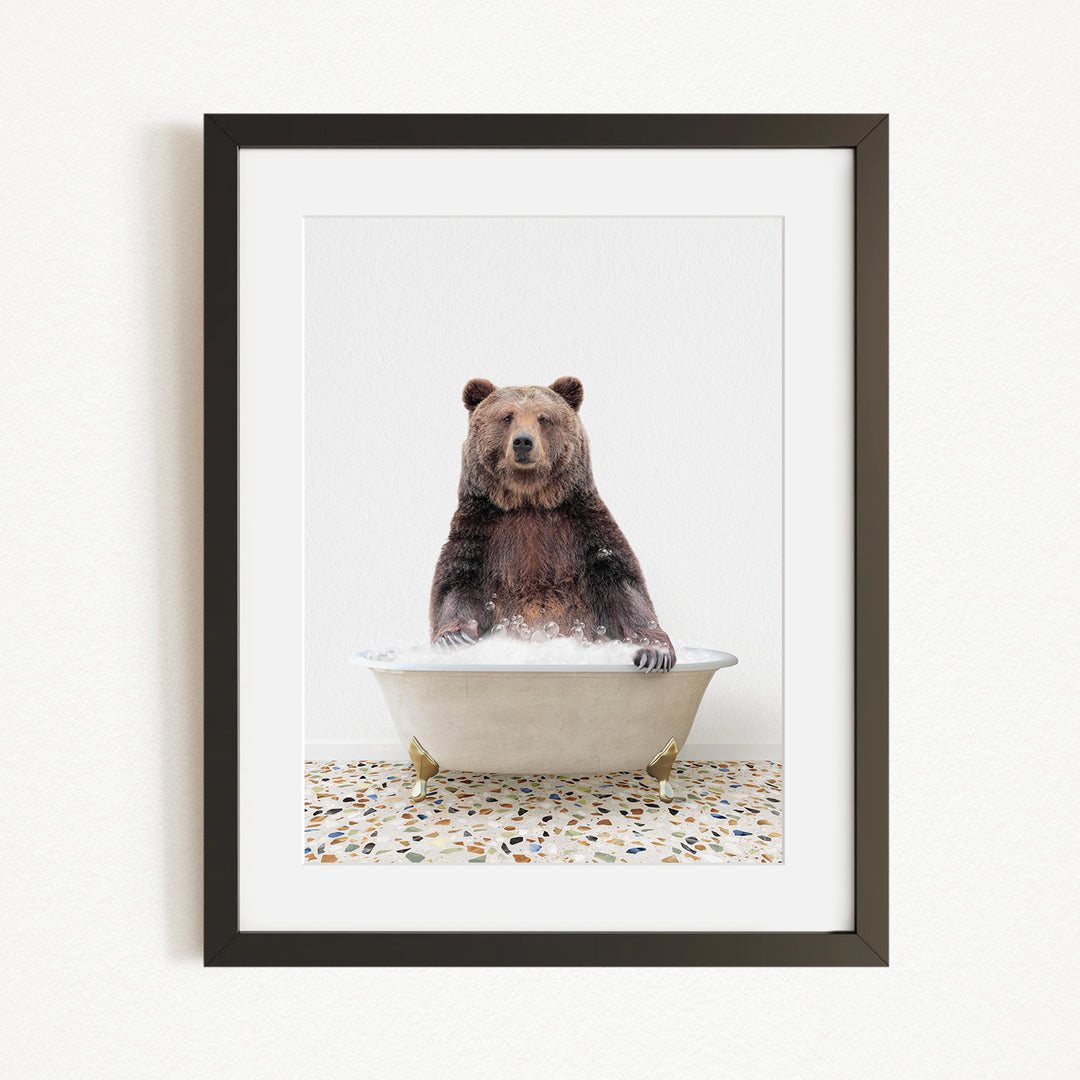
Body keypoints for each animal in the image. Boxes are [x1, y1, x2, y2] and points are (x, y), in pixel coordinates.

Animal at [429, 376, 676, 672]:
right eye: (507, 416)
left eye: (544, 418)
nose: (523, 441)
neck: (529, 500)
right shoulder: (480, 529)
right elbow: (457, 583)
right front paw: (453, 638)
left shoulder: (583, 527)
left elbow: (622, 585)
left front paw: (654, 652)